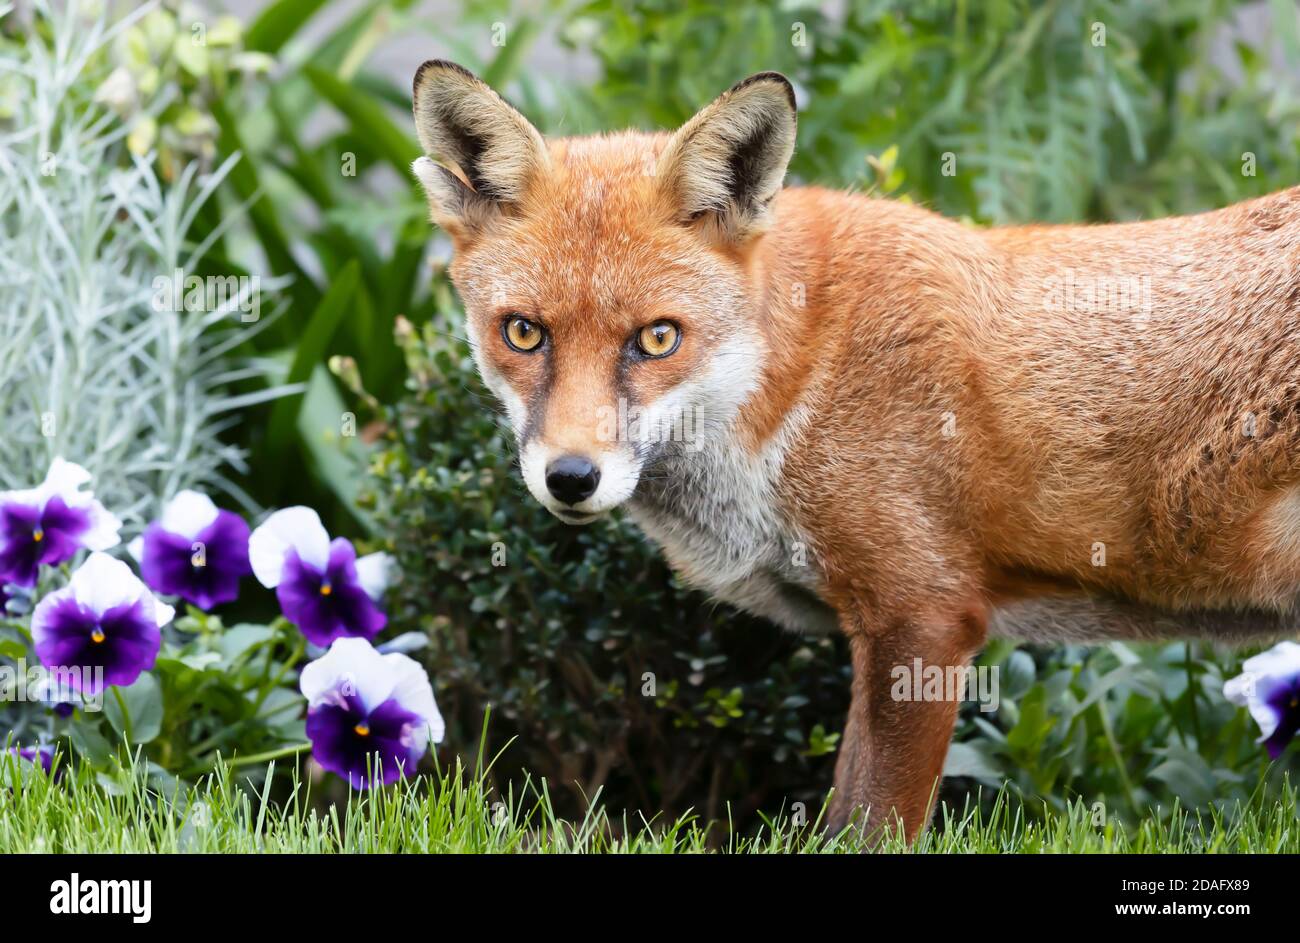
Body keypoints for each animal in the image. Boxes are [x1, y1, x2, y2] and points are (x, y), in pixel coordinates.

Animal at [409, 60, 1300, 841]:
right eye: (524, 332)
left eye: (657, 338)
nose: (571, 477)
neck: (799, 380)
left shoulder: (925, 617)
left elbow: (874, 822)